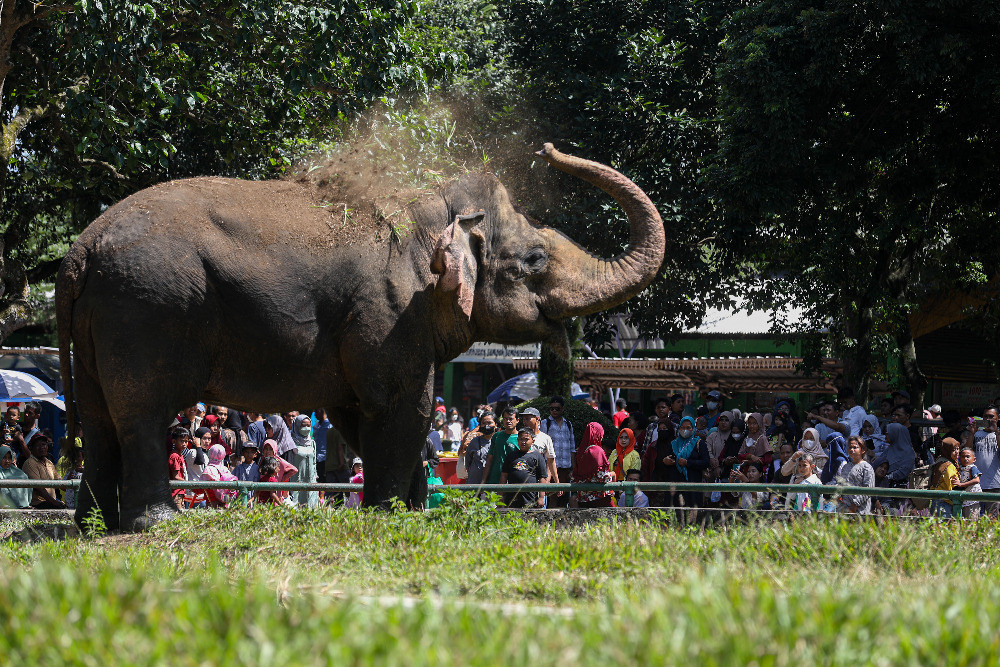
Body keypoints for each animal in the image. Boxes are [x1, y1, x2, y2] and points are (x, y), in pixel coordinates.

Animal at [54, 144, 664, 528]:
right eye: (534, 259)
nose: (548, 149)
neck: (435, 217)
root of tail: (81, 250)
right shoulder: (389, 315)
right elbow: (402, 408)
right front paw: (390, 515)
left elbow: (360, 413)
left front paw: (410, 511)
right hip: (147, 311)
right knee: (141, 415)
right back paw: (154, 524)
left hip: (101, 325)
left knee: (100, 420)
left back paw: (92, 526)